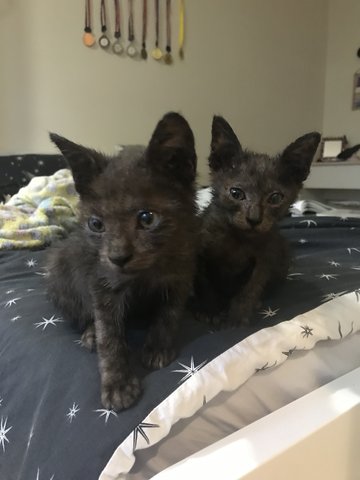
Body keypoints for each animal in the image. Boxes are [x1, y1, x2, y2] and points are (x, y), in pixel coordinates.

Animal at [46, 111, 198, 408]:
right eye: (96, 224)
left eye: (147, 218)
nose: (117, 257)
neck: (149, 270)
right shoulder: (101, 281)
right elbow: (109, 335)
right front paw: (117, 383)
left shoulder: (183, 274)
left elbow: (171, 312)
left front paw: (158, 346)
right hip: (60, 265)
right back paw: (90, 332)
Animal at [191, 115, 320, 328]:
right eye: (236, 193)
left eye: (275, 198)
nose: (254, 218)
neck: (239, 237)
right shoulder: (201, 249)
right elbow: (205, 282)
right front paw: (210, 311)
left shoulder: (266, 256)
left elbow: (252, 286)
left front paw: (237, 316)